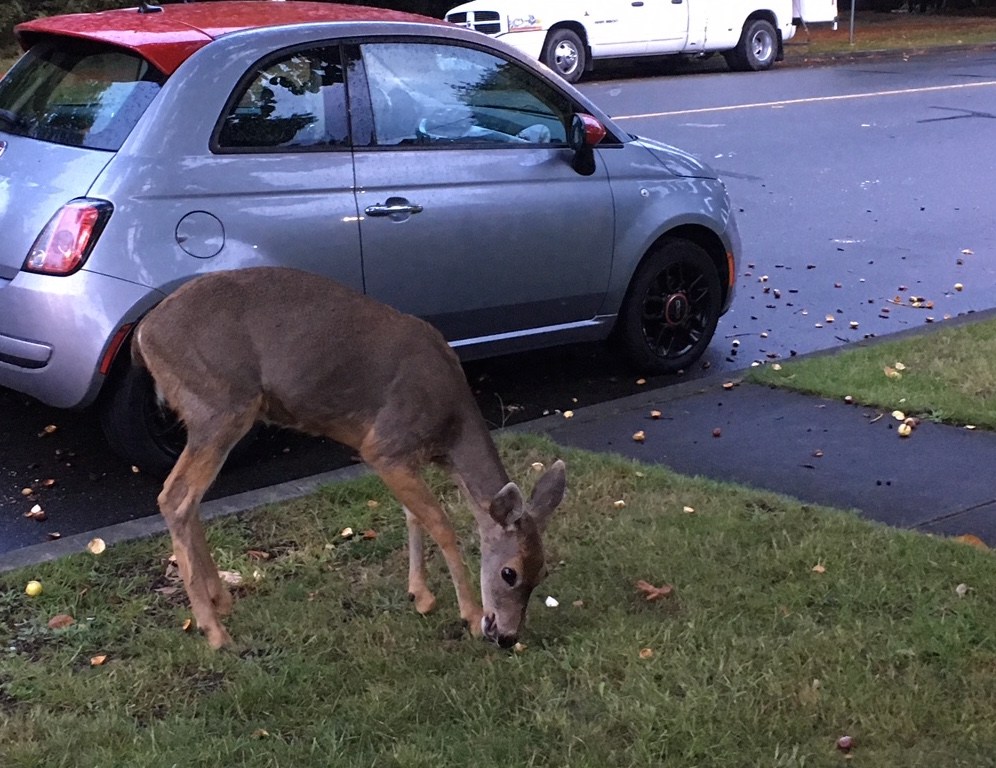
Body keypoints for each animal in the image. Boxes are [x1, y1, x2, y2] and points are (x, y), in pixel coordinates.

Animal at [132, 266, 566, 650]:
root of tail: (143, 335)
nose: (506, 636)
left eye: (543, 571)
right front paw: (470, 616)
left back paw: (221, 602)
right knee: (175, 496)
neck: (450, 428)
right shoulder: (385, 444)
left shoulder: (409, 458)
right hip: (219, 404)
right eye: (509, 573)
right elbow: (440, 523)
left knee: (190, 500)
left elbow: (413, 516)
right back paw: (215, 632)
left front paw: (421, 595)